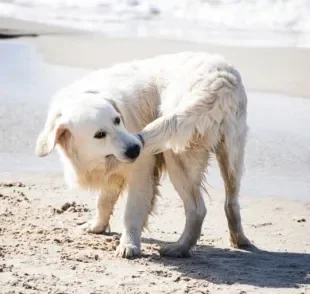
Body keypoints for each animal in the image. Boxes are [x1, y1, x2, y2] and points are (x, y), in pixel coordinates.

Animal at [35, 51, 249, 258]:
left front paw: (128, 245)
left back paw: (179, 248)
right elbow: (103, 201)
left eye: (117, 120)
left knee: (197, 209)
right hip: (231, 156)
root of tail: (220, 81)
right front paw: (97, 226)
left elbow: (131, 212)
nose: (135, 149)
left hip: (176, 155)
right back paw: (239, 240)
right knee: (231, 202)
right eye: (99, 134)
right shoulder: (112, 173)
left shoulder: (141, 171)